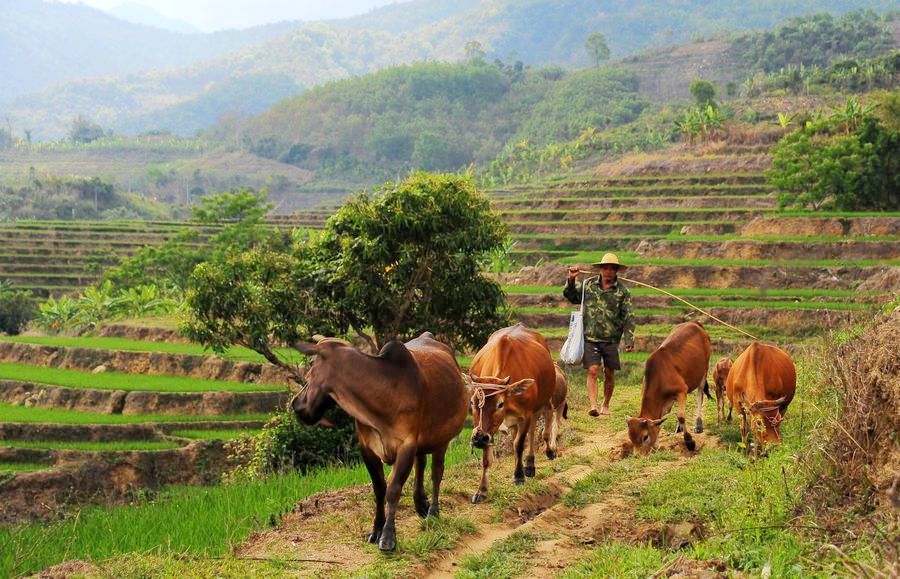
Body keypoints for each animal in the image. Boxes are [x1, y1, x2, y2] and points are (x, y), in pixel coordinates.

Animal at [292, 334, 468, 552]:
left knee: (436, 473)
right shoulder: (367, 448)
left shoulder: (406, 446)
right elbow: (379, 488)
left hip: (442, 439)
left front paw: (388, 536)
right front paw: (376, 530)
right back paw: (420, 504)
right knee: (421, 465)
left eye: (311, 364)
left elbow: (393, 489)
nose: (296, 404)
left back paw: (433, 511)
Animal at [464, 324, 556, 506]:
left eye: (500, 404)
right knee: (524, 434)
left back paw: (542, 456)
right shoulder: (488, 430)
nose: (478, 438)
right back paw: (528, 464)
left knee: (543, 422)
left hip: (544, 399)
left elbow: (519, 445)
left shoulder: (525, 415)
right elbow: (487, 457)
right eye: (472, 403)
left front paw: (519, 476)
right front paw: (481, 490)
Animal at [624, 324, 712, 456]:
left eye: (645, 437)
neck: (659, 375)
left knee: (699, 396)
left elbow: (681, 416)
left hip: (704, 371)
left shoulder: (682, 390)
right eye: (630, 438)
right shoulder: (666, 400)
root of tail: (696, 324)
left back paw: (698, 424)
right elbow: (662, 419)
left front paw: (690, 442)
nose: (638, 456)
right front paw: (657, 444)